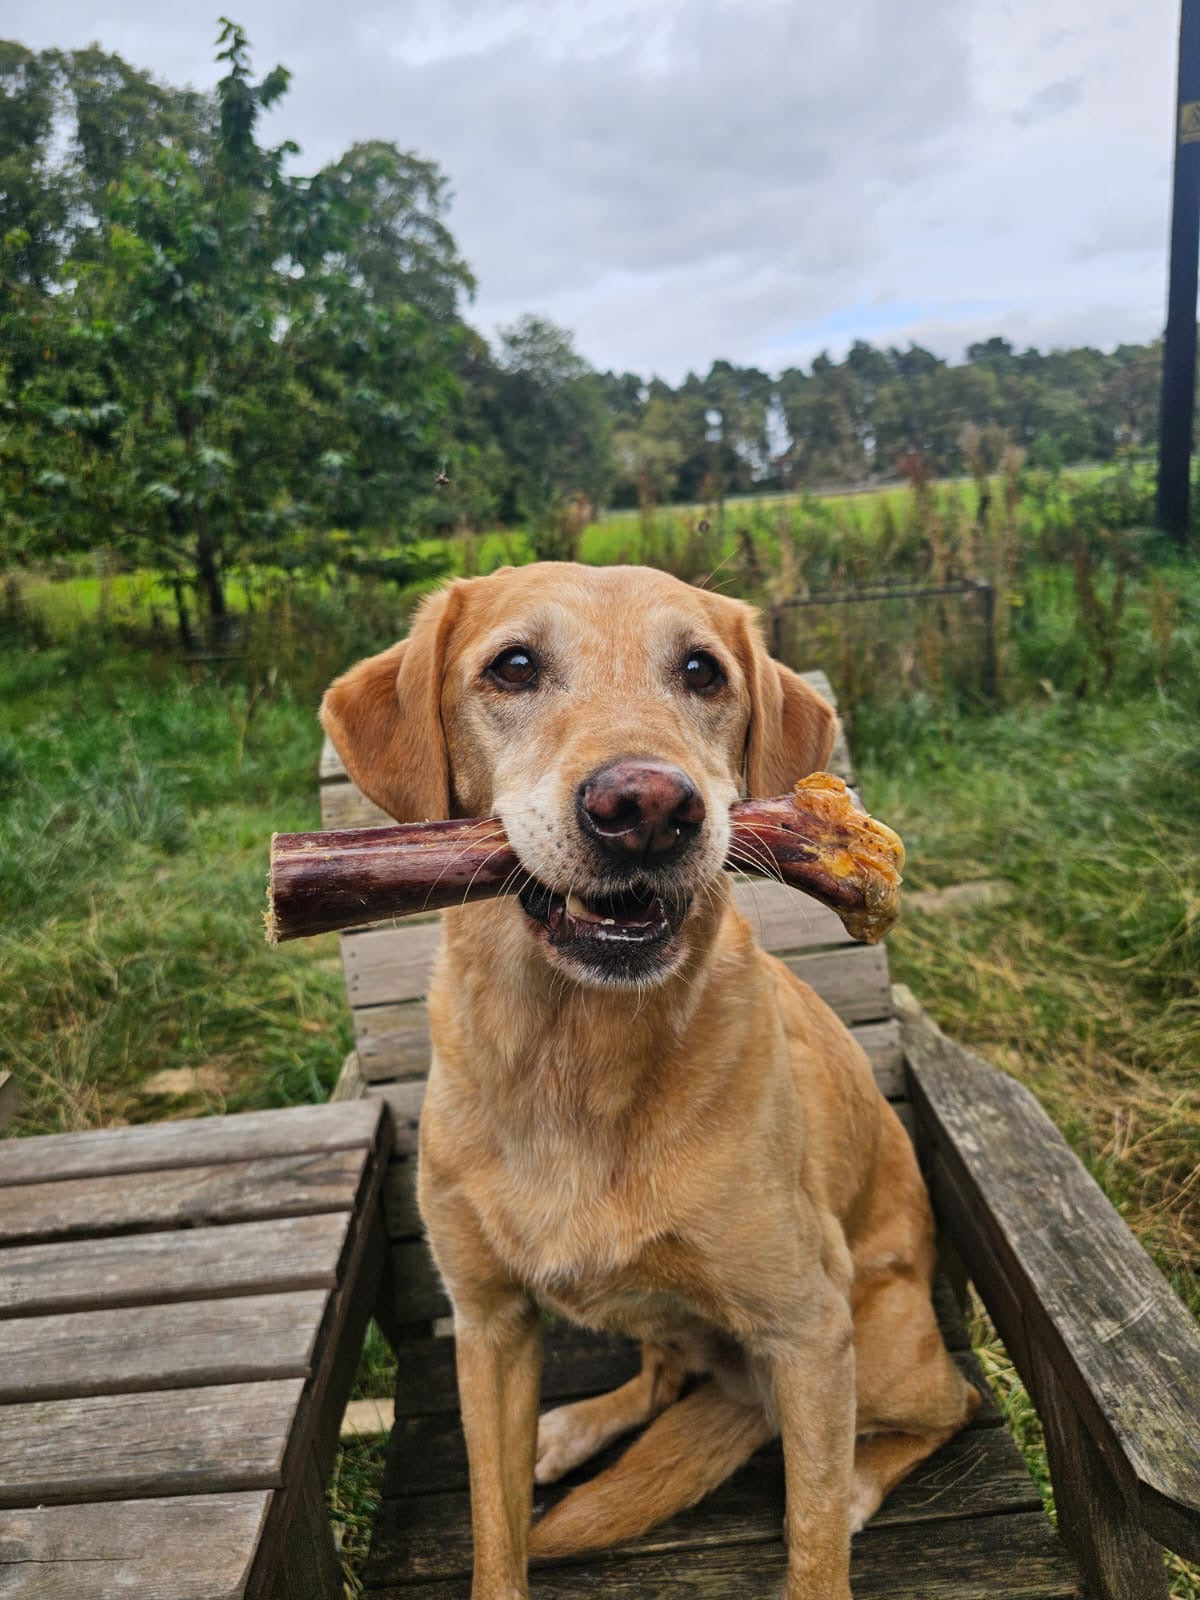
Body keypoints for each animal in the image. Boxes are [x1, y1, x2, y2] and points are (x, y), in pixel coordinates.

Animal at [324, 563, 979, 1600]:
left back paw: (859, 1484)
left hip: (879, 1351)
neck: (574, 1055)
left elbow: (813, 1552)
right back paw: (571, 1429)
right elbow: (494, 1533)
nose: (650, 809)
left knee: (953, 1405)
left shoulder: (807, 1327)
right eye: (513, 665)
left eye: (703, 671)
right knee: (666, 1372)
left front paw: (827, 1516)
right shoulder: (488, 1325)